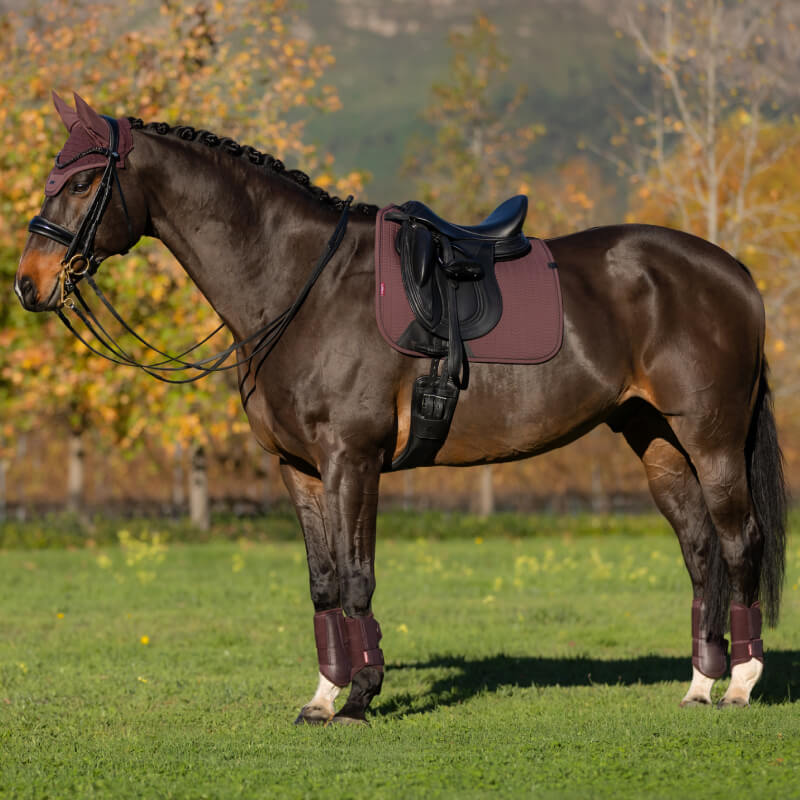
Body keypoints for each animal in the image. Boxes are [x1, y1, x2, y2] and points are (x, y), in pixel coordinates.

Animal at [15, 93, 786, 723]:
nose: (28, 283)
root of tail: (734, 272)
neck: (302, 287)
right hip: (656, 440)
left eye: (81, 180)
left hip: (712, 440)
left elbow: (358, 579)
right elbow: (324, 583)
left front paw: (361, 698)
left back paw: (741, 684)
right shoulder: (298, 469)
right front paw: (323, 697)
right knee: (700, 552)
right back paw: (699, 685)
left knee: (740, 541)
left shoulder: (351, 461)